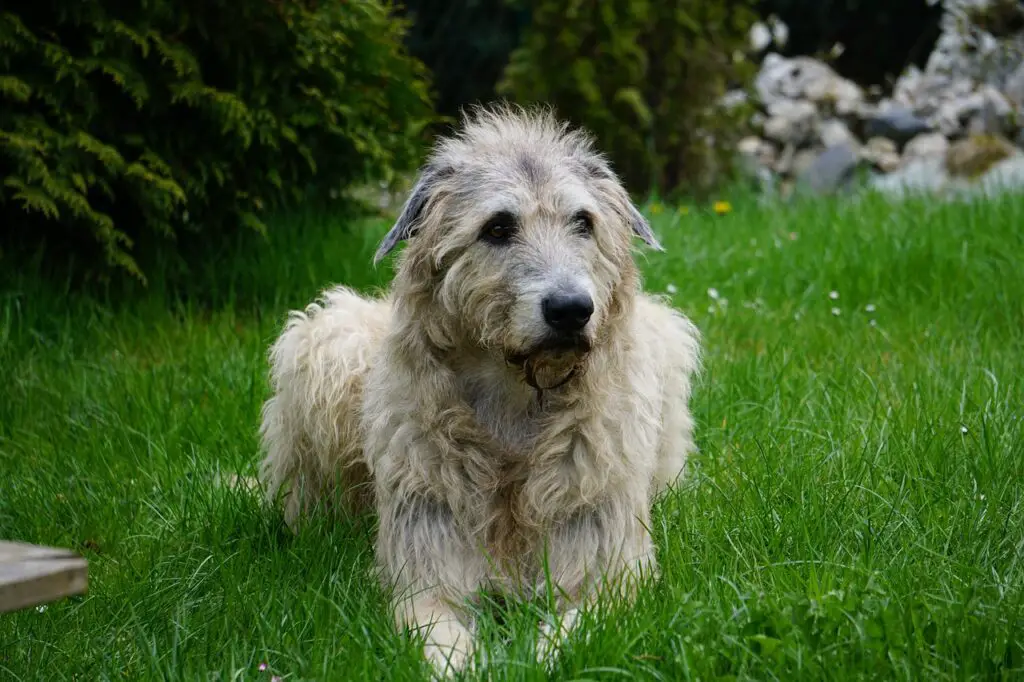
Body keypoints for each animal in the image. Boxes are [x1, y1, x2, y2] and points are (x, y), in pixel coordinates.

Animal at [260, 102, 700, 675]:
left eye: (584, 222)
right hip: (325, 343)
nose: (571, 310)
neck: (517, 400)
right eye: (497, 227)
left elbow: (572, 633)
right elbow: (437, 633)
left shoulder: (610, 575)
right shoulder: (425, 573)